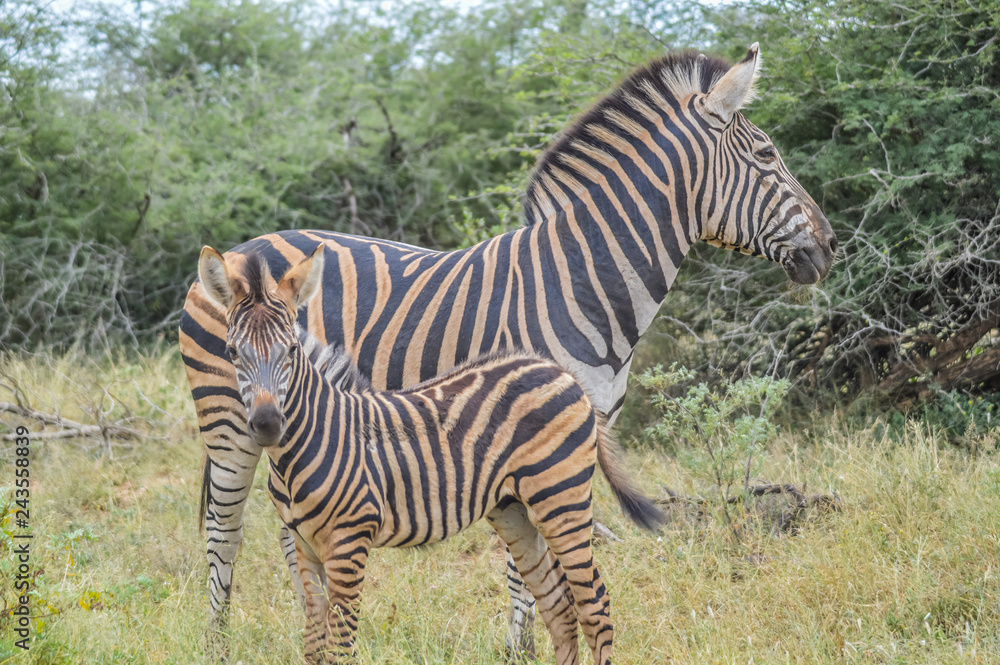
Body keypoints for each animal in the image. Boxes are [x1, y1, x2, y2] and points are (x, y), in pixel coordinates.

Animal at [198, 245, 664, 664]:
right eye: (233, 352)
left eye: (291, 350)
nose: (266, 425)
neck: (309, 442)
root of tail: (559, 370)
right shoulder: (305, 546)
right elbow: (315, 647)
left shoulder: (350, 543)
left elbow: (341, 647)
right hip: (514, 510)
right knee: (560, 610)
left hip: (561, 498)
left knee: (594, 605)